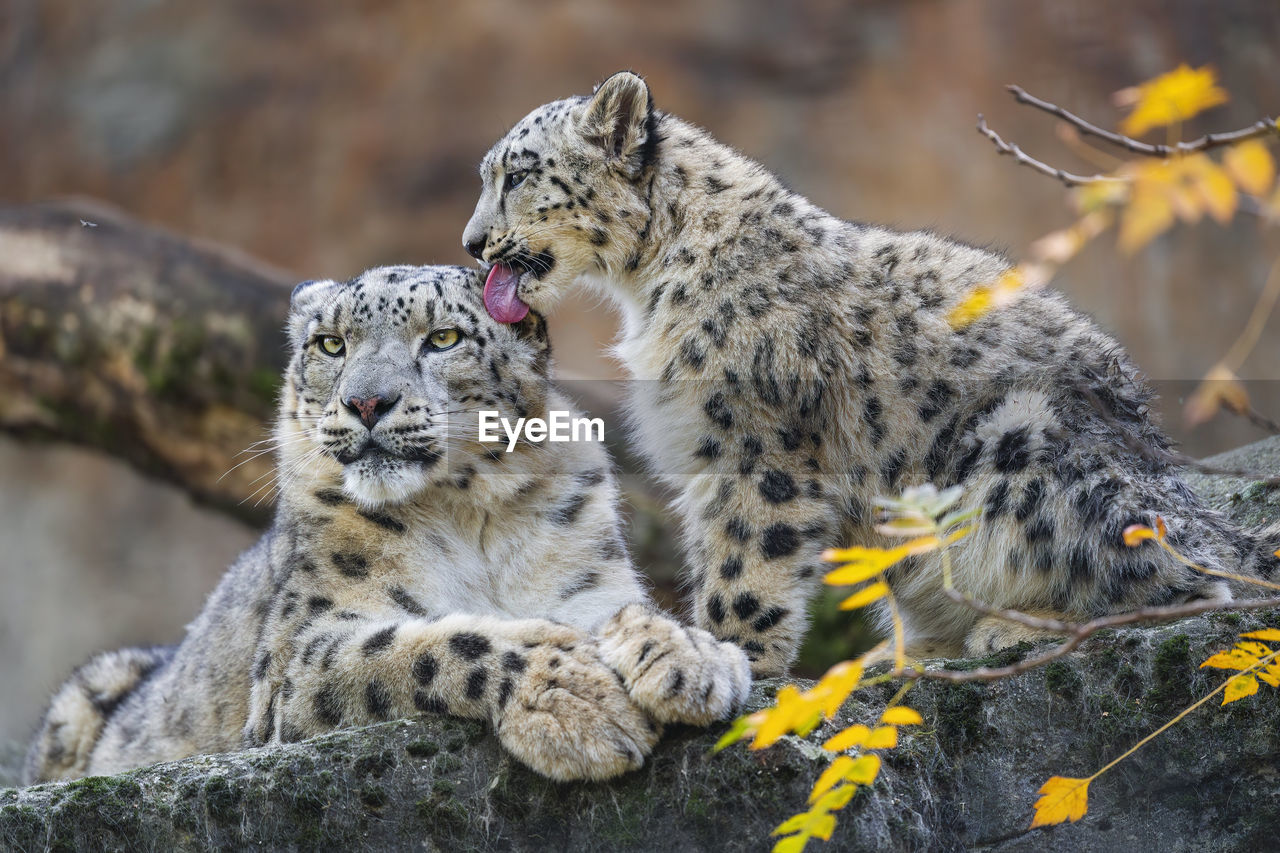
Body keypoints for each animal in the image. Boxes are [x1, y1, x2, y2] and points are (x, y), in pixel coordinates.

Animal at [22, 262, 747, 778]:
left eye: (443, 337)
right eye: (330, 344)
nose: (367, 401)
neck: (469, 516)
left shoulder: (587, 587)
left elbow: (629, 610)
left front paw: (695, 658)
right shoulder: (299, 659)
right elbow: (426, 646)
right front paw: (575, 697)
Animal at [463, 69, 1280, 676]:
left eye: (519, 173)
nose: (471, 243)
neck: (649, 283)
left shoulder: (754, 447)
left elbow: (744, 567)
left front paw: (732, 657)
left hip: (1030, 453)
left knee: (1190, 583)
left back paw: (1013, 629)